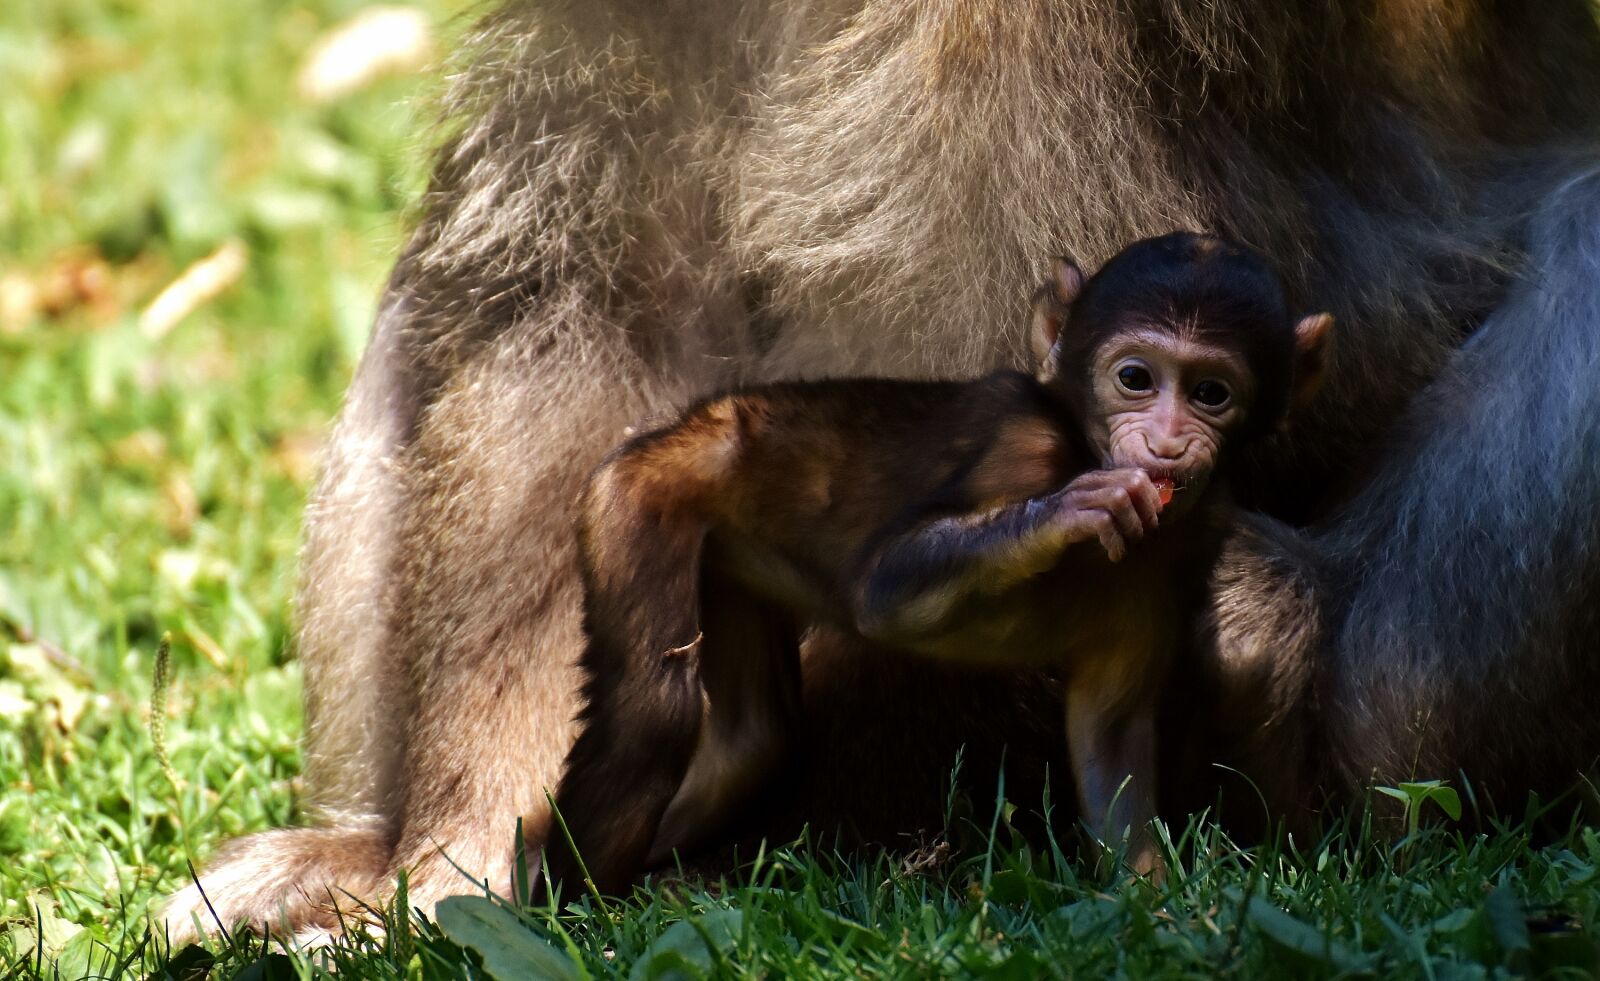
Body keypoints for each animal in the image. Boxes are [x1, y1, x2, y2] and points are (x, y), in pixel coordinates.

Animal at [545, 233, 1335, 894]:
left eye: (1210, 393)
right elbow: (884, 588)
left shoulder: (1193, 541)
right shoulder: (1018, 443)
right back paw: (563, 910)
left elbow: (1111, 737)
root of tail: (697, 421)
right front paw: (1069, 510)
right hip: (640, 495)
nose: (1168, 443)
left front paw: (1162, 908)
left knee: (753, 736)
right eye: (1136, 378)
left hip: (731, 556)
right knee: (653, 715)